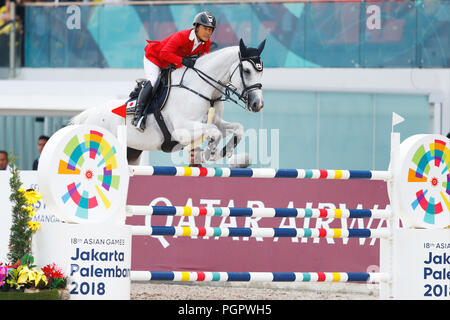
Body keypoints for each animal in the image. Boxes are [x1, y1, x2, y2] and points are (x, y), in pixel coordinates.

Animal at [70, 38, 266, 166]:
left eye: (261, 71)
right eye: (247, 70)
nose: (258, 104)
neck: (203, 88)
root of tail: (88, 116)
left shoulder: (216, 121)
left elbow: (236, 128)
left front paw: (224, 152)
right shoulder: (182, 131)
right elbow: (214, 132)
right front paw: (210, 152)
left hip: (131, 152)